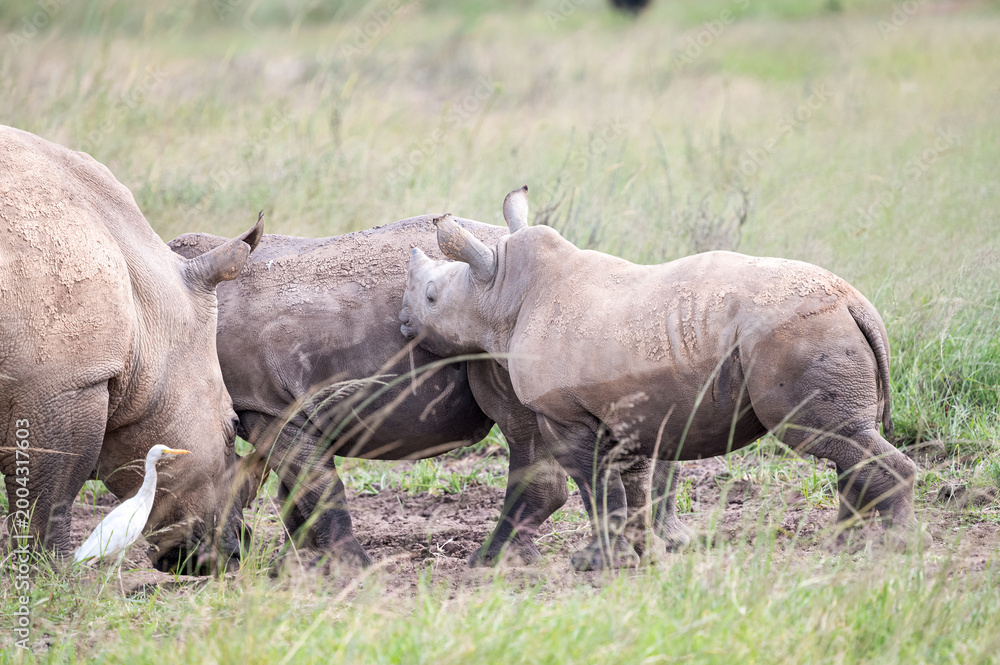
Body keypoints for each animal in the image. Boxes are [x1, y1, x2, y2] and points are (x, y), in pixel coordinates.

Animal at [0, 125, 261, 573]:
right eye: (231, 428)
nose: (233, 553)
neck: (148, 308)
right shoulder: (61, 382)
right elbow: (49, 494)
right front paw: (53, 577)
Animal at [168, 202, 694, 568]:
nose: (181, 564)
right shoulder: (269, 408)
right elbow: (290, 489)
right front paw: (292, 567)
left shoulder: (268, 407)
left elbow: (312, 486)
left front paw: (349, 570)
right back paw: (650, 547)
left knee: (524, 428)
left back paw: (490, 562)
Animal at [400, 186, 920, 570]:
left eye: (431, 296)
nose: (402, 320)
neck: (501, 290)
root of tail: (855, 303)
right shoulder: (621, 410)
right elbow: (629, 489)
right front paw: (641, 556)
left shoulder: (565, 413)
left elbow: (597, 488)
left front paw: (596, 564)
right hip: (820, 329)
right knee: (846, 441)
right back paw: (843, 546)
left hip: (801, 333)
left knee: (825, 435)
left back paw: (895, 547)